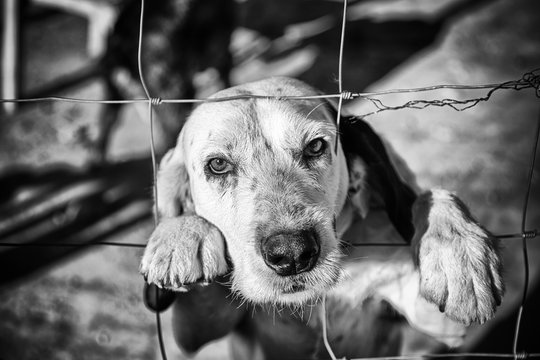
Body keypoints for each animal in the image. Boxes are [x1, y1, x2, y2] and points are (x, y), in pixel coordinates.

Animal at [138, 77, 502, 358]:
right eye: (217, 165)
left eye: (314, 147)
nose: (292, 254)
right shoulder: (193, 331)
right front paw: (181, 234)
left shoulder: (441, 324)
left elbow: (430, 196)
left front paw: (459, 253)